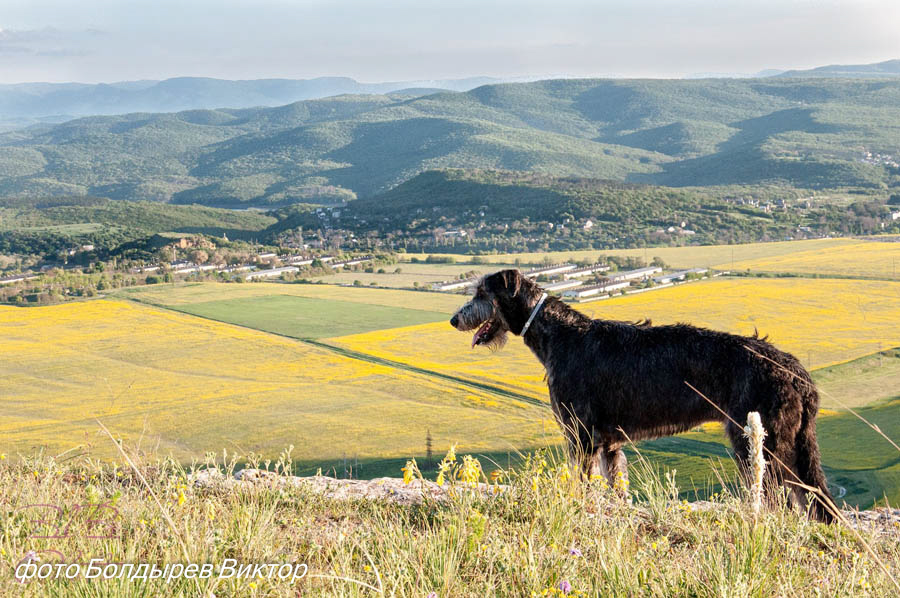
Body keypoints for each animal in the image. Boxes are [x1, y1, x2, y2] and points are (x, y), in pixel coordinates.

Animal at [450, 270, 836, 524]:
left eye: (481, 293)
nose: (454, 319)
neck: (558, 334)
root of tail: (799, 374)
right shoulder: (608, 442)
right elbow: (615, 485)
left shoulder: (581, 435)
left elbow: (582, 483)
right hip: (790, 443)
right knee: (811, 495)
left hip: (760, 441)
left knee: (782, 497)